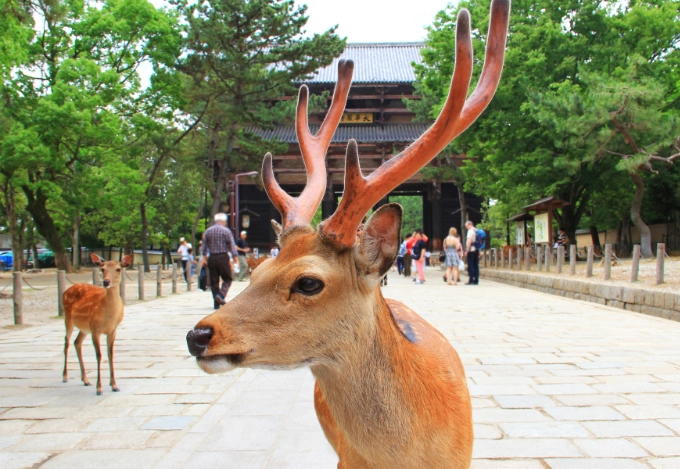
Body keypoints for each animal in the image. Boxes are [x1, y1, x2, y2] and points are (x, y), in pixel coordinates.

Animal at [63, 252, 133, 395]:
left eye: (118, 269)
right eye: (102, 269)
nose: (106, 282)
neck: (110, 316)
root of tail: (65, 292)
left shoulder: (112, 330)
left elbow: (110, 354)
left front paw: (114, 385)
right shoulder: (96, 330)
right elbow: (99, 355)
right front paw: (99, 388)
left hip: (84, 328)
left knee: (77, 342)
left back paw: (85, 380)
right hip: (68, 317)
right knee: (66, 342)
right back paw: (65, 376)